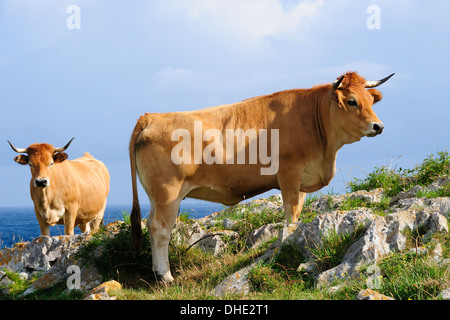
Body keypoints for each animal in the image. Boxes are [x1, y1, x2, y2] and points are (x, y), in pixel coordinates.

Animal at [129, 71, 394, 282]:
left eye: (370, 100)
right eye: (351, 101)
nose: (378, 126)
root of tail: (150, 117)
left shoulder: (302, 182)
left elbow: (297, 212)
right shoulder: (289, 174)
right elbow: (291, 215)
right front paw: (288, 240)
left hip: (156, 196)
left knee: (150, 225)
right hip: (168, 192)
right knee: (160, 229)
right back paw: (165, 277)